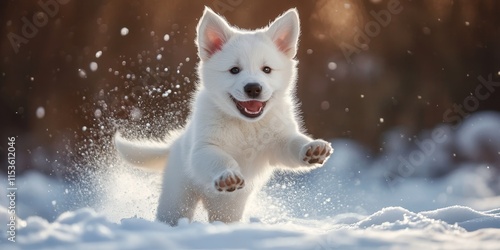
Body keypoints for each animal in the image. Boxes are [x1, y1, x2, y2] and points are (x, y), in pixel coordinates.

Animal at [113, 6, 332, 226]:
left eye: (267, 69)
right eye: (234, 70)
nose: (253, 88)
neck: (246, 125)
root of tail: (174, 143)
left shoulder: (278, 142)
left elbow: (293, 144)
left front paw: (313, 148)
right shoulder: (204, 149)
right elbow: (220, 159)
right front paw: (228, 176)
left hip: (228, 208)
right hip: (177, 197)